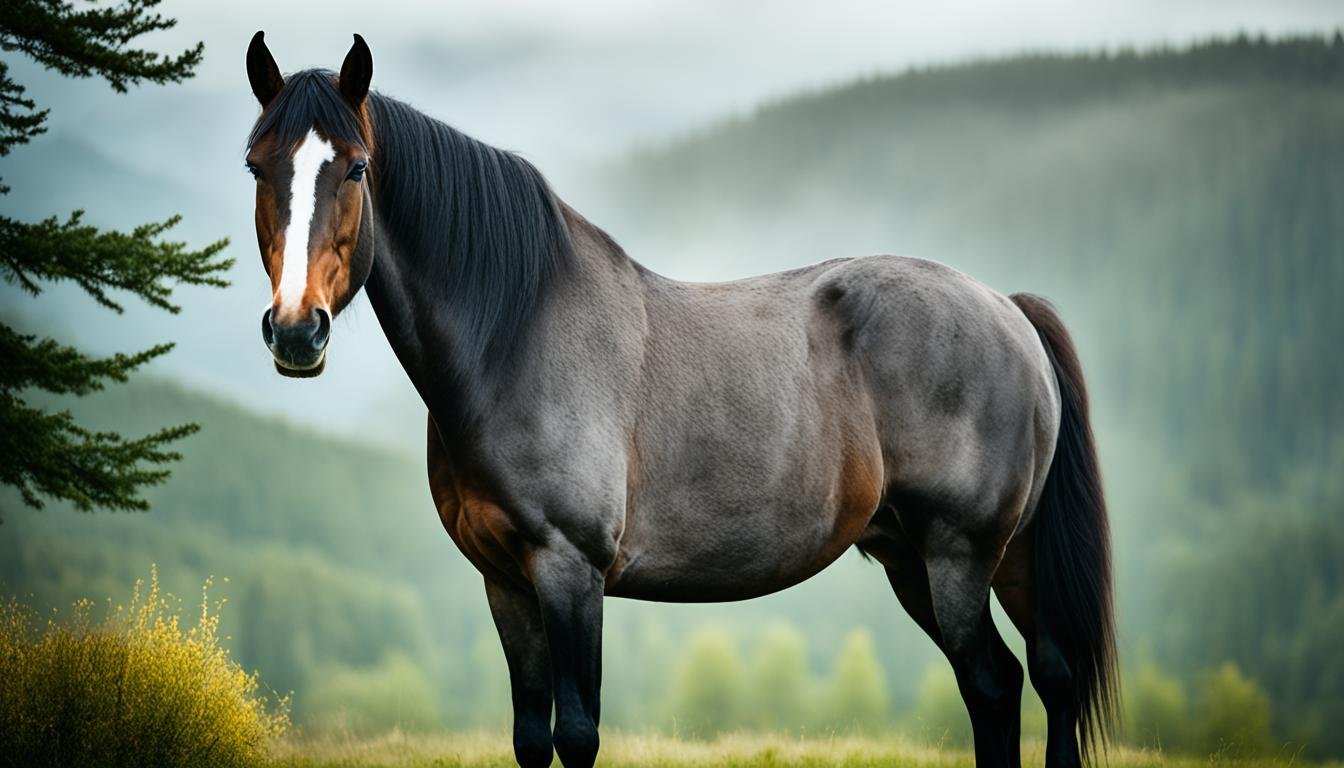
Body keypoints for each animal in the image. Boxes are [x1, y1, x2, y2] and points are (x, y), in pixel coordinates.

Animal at [247, 30, 1118, 768]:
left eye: (357, 168)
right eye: (258, 165)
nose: (295, 331)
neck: (516, 336)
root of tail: (1007, 309)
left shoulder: (570, 569)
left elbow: (577, 733)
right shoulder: (505, 581)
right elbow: (531, 738)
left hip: (958, 554)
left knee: (996, 684)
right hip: (961, 557)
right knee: (1047, 675)